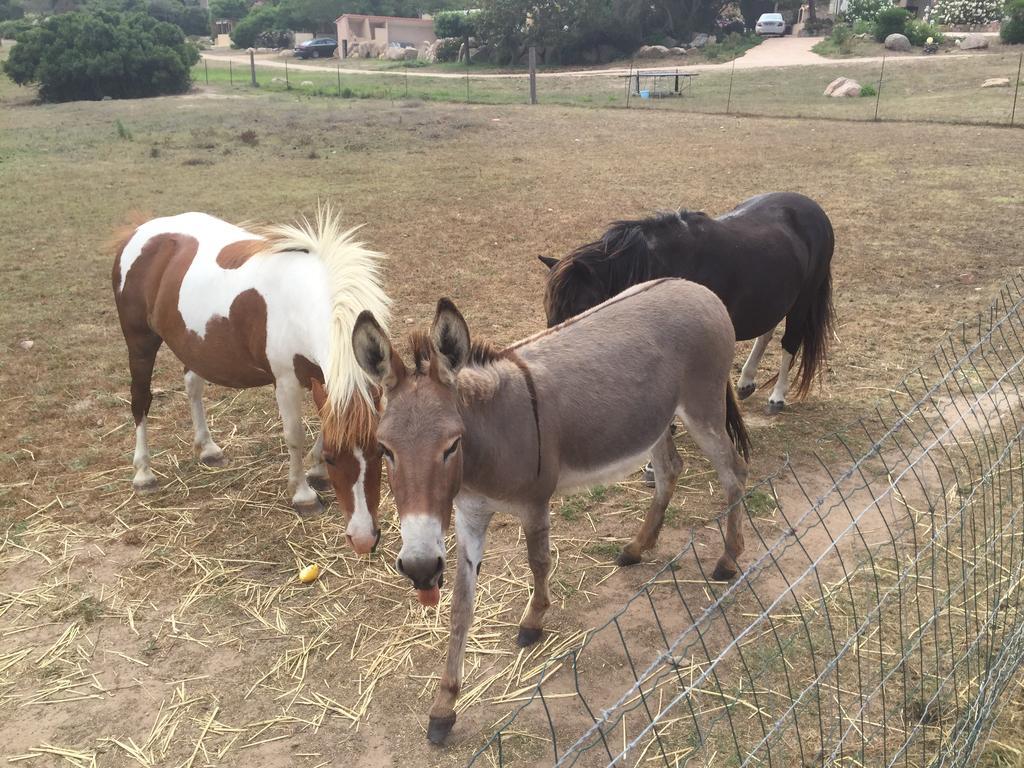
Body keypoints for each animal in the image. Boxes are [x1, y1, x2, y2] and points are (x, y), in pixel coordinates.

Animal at [112, 210, 389, 557]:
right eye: (333, 458)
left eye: (382, 452)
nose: (364, 540)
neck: (304, 301)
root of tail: (138, 232)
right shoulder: (286, 381)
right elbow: (294, 436)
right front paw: (303, 494)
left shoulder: (322, 379)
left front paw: (315, 473)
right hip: (140, 342)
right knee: (140, 400)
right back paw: (143, 473)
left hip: (193, 346)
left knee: (192, 387)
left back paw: (208, 449)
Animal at [352, 280, 753, 741]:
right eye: (385, 449)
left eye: (452, 445)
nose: (419, 569)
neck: (490, 439)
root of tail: (697, 287)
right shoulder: (469, 515)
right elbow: (460, 606)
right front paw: (443, 706)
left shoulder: (534, 503)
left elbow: (539, 562)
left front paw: (533, 622)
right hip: (655, 419)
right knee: (671, 469)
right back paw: (638, 547)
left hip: (702, 408)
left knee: (734, 472)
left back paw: (728, 558)